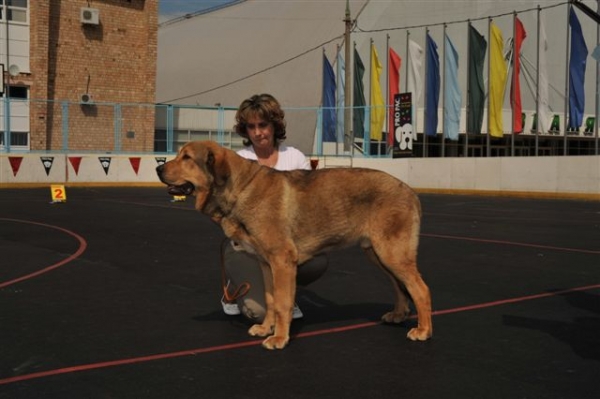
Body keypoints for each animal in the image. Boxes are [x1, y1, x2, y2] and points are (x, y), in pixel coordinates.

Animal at [157, 141, 434, 350]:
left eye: (187, 157)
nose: (159, 167)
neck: (240, 188)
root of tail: (410, 191)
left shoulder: (282, 260)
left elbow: (282, 303)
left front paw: (279, 338)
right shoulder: (266, 264)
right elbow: (270, 300)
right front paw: (266, 328)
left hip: (392, 253)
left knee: (420, 289)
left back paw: (423, 330)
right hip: (377, 254)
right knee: (399, 286)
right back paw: (398, 315)